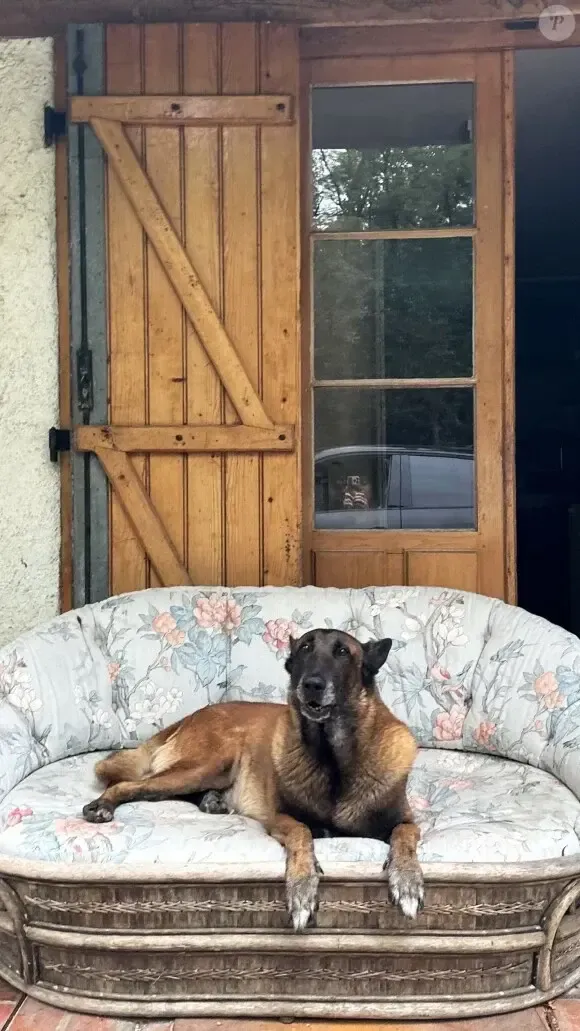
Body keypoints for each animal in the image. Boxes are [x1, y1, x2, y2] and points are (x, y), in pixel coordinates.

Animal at [82, 622, 422, 932]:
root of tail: (189, 717)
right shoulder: (282, 819)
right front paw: (302, 886)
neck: (332, 760)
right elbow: (303, 834)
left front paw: (407, 880)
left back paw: (211, 801)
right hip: (209, 764)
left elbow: (404, 837)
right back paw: (102, 806)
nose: (312, 684)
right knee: (130, 784)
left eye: (342, 652)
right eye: (305, 649)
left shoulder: (404, 821)